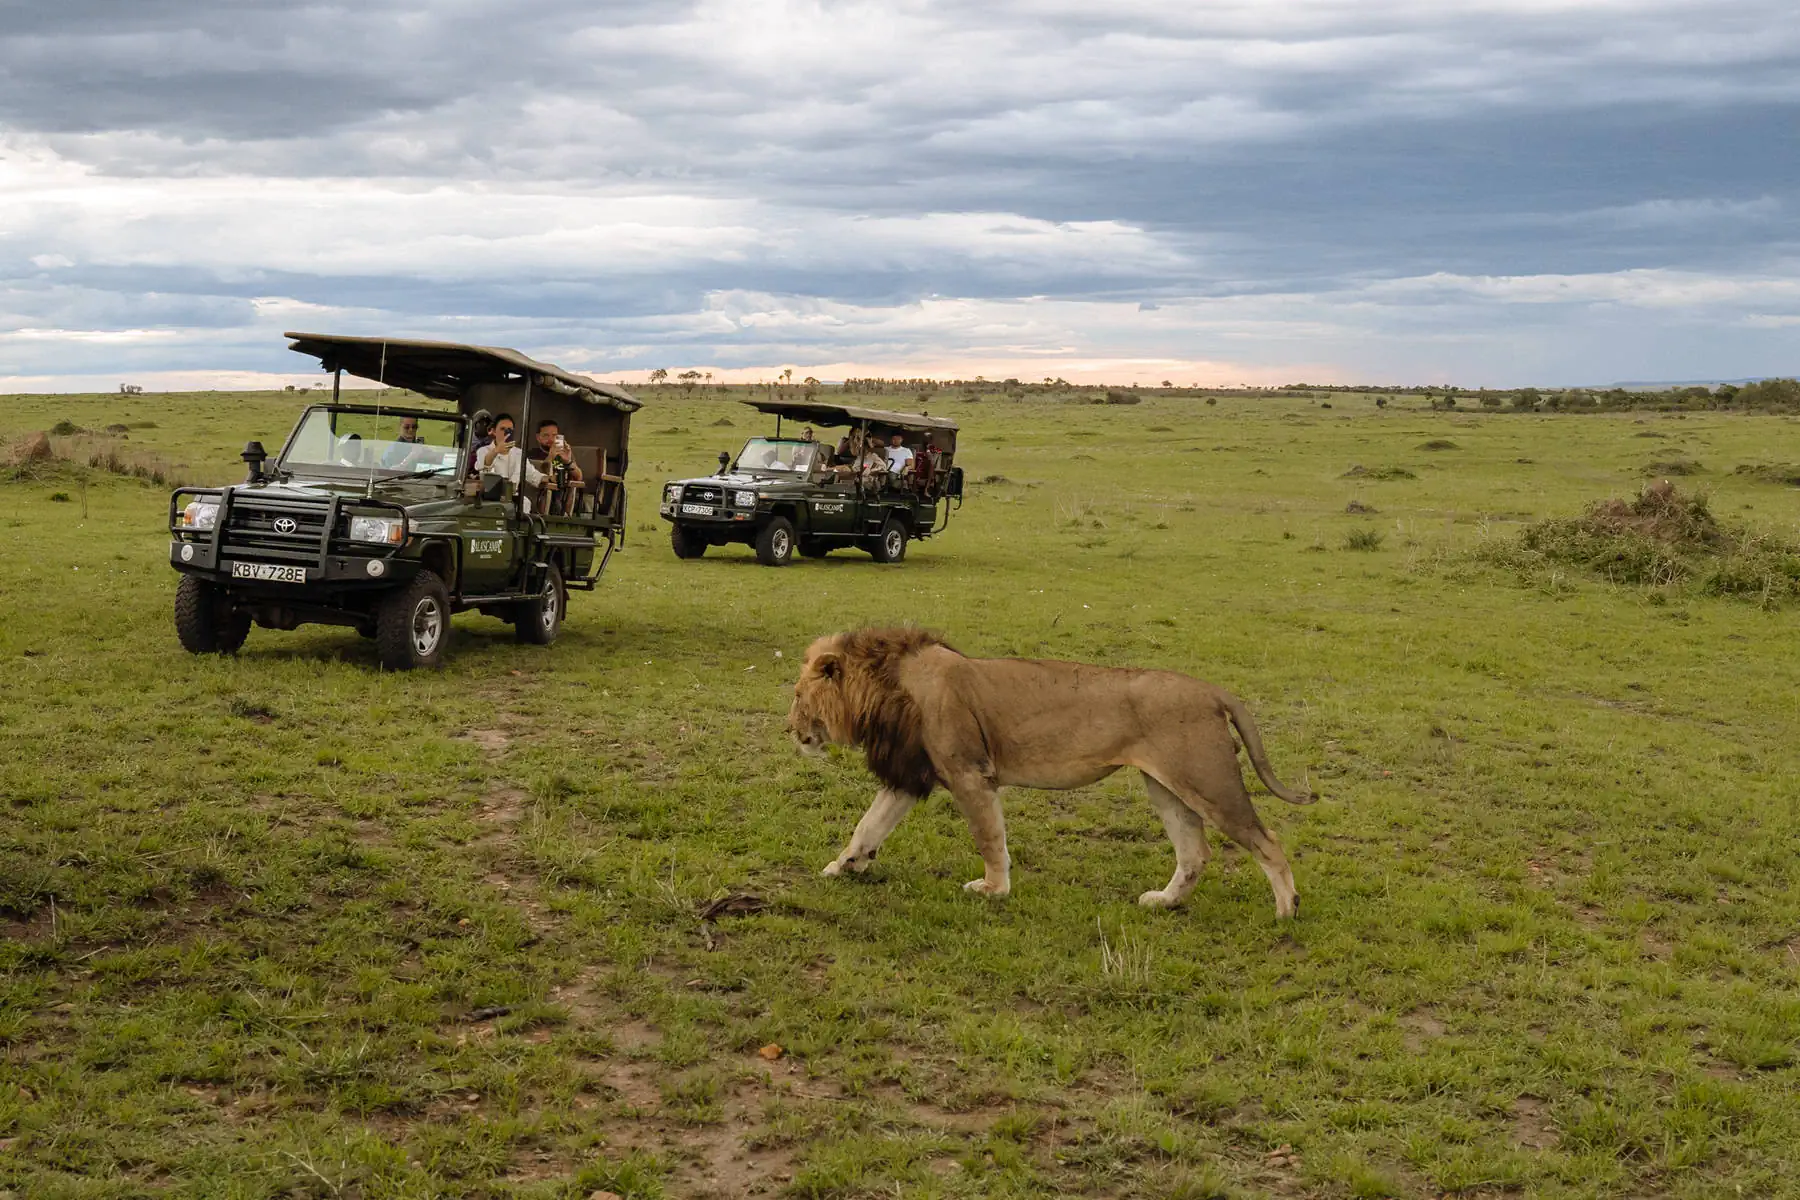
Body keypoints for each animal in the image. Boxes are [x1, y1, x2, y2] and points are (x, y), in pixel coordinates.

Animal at [788, 629, 1324, 921]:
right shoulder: (911, 772)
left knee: (1267, 839)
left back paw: (1286, 909)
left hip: (1209, 781)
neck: (885, 684)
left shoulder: (969, 774)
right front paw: (843, 866)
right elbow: (868, 825)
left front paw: (993, 890)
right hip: (1167, 788)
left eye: (796, 695)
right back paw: (1164, 902)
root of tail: (1212, 690)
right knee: (1195, 853)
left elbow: (989, 839)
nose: (790, 730)